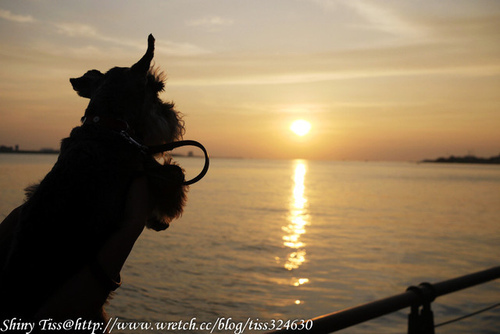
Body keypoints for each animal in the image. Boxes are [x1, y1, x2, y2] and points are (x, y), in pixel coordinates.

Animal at [0, 34, 187, 320]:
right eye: (158, 89)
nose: (173, 115)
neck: (105, 124)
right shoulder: (147, 168)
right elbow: (176, 176)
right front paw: (160, 219)